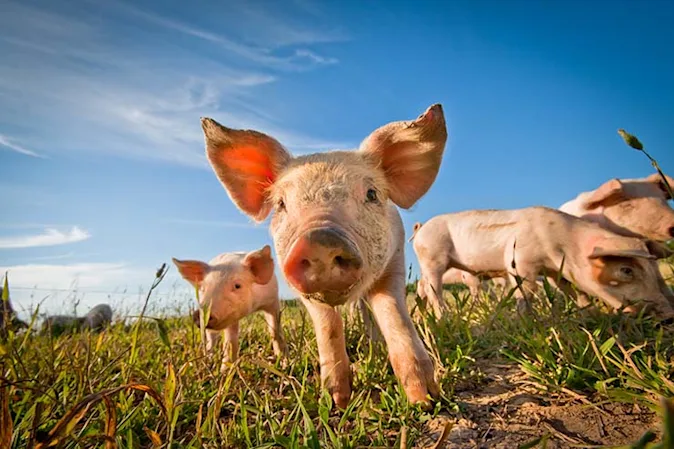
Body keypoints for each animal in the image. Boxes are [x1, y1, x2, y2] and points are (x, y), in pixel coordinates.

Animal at [200, 104, 448, 409]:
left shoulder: (395, 261)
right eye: (281, 204)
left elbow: (394, 314)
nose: (319, 240)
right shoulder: (299, 288)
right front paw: (336, 401)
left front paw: (425, 399)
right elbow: (328, 327)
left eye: (371, 193)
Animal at [412, 206, 674, 318]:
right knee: (432, 289)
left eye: (654, 272)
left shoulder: (555, 272)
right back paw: (442, 317)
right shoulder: (519, 262)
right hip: (432, 257)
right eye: (625, 270)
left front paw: (587, 311)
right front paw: (523, 319)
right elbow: (526, 290)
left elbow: (573, 291)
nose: (668, 314)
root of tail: (421, 228)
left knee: (423, 288)